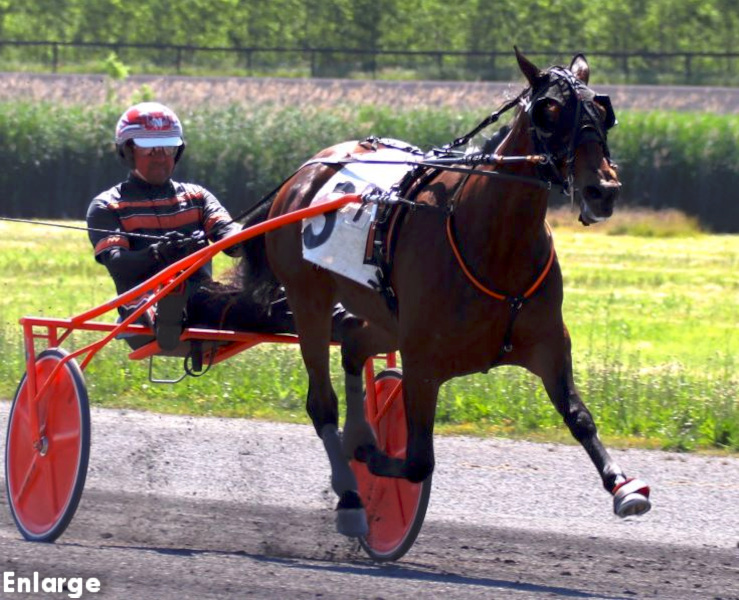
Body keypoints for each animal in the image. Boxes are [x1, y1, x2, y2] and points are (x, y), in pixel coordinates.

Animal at [246, 49, 652, 536]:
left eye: (601, 111)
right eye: (549, 111)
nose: (602, 190)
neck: (494, 241)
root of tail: (305, 172)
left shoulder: (549, 343)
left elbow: (580, 417)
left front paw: (623, 486)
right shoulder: (423, 361)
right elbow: (418, 460)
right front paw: (369, 459)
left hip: (385, 316)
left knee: (355, 343)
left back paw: (359, 434)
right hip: (309, 301)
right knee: (322, 403)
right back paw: (351, 496)